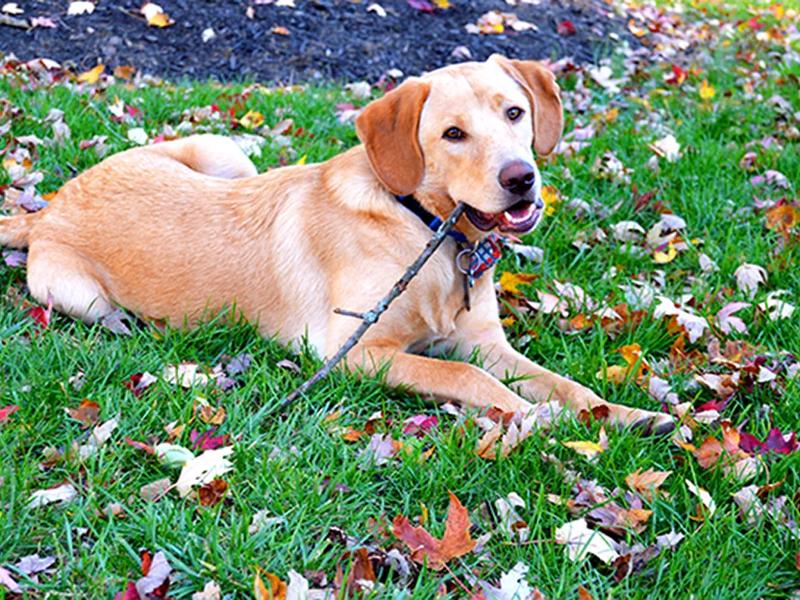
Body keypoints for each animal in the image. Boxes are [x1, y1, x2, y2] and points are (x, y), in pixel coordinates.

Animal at [0, 55, 676, 432]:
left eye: (514, 113)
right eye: (453, 134)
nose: (521, 178)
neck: (427, 229)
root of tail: (50, 206)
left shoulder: (486, 341)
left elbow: (569, 386)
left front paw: (633, 417)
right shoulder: (353, 353)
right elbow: (466, 378)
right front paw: (534, 417)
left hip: (226, 152)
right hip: (80, 294)